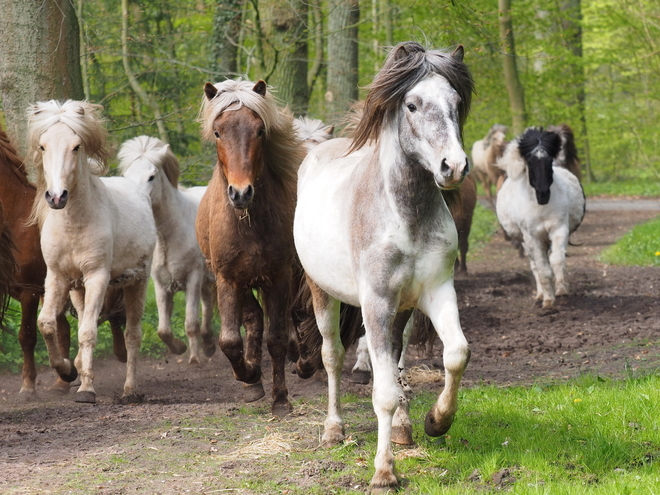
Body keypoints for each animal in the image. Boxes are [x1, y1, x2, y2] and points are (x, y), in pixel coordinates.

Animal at [29, 100, 157, 404]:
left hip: (138, 282)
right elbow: (47, 323)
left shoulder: (97, 276)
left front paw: (86, 390)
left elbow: (88, 332)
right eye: (42, 146)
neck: (74, 223)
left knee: (133, 334)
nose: (56, 197)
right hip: (78, 290)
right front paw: (67, 371)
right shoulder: (57, 277)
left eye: (76, 146)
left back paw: (130, 389)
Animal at [118, 138, 217, 366]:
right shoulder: (161, 283)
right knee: (208, 304)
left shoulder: (193, 279)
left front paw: (194, 359)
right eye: (126, 177)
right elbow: (163, 330)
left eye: (151, 177)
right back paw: (209, 344)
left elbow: (190, 323)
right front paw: (179, 348)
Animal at [195, 79, 306, 416]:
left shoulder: (280, 277)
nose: (241, 193)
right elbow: (230, 341)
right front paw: (249, 375)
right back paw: (253, 381)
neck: (249, 222)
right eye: (218, 132)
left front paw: (280, 399)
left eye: (259, 131)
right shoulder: (228, 279)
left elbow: (278, 338)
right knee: (253, 320)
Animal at [294, 42, 474, 492]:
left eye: (456, 102)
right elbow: (384, 392)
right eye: (412, 104)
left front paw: (437, 422)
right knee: (332, 356)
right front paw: (384, 471)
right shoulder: (375, 302)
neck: (405, 216)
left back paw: (404, 429)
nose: (453, 166)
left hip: (402, 310)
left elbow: (455, 354)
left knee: (397, 359)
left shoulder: (436, 291)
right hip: (324, 293)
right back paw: (333, 429)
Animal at [498, 127, 584, 310]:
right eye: (530, 162)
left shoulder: (559, 229)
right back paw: (539, 294)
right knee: (534, 266)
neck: (540, 208)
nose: (543, 194)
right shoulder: (532, 237)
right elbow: (543, 269)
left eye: (549, 160)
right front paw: (548, 300)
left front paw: (561, 290)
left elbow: (557, 260)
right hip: (526, 242)